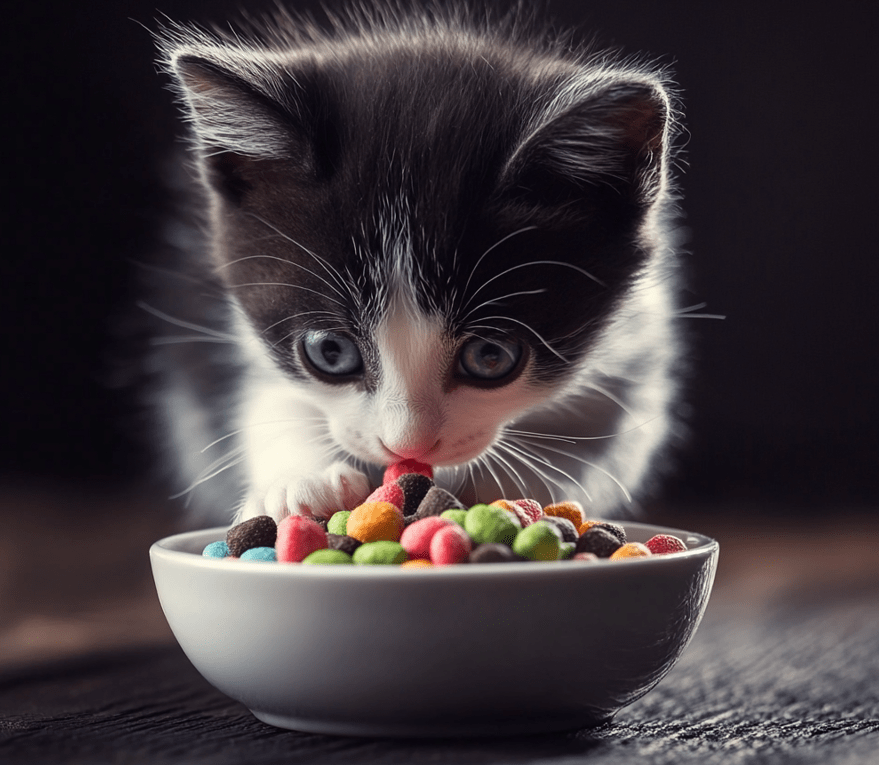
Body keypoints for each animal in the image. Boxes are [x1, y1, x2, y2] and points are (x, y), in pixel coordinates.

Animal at [148, 1, 688, 524]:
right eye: (329, 351)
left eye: (491, 357)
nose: (407, 445)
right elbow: (267, 397)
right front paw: (302, 482)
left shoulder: (638, 335)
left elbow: (600, 432)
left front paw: (500, 491)